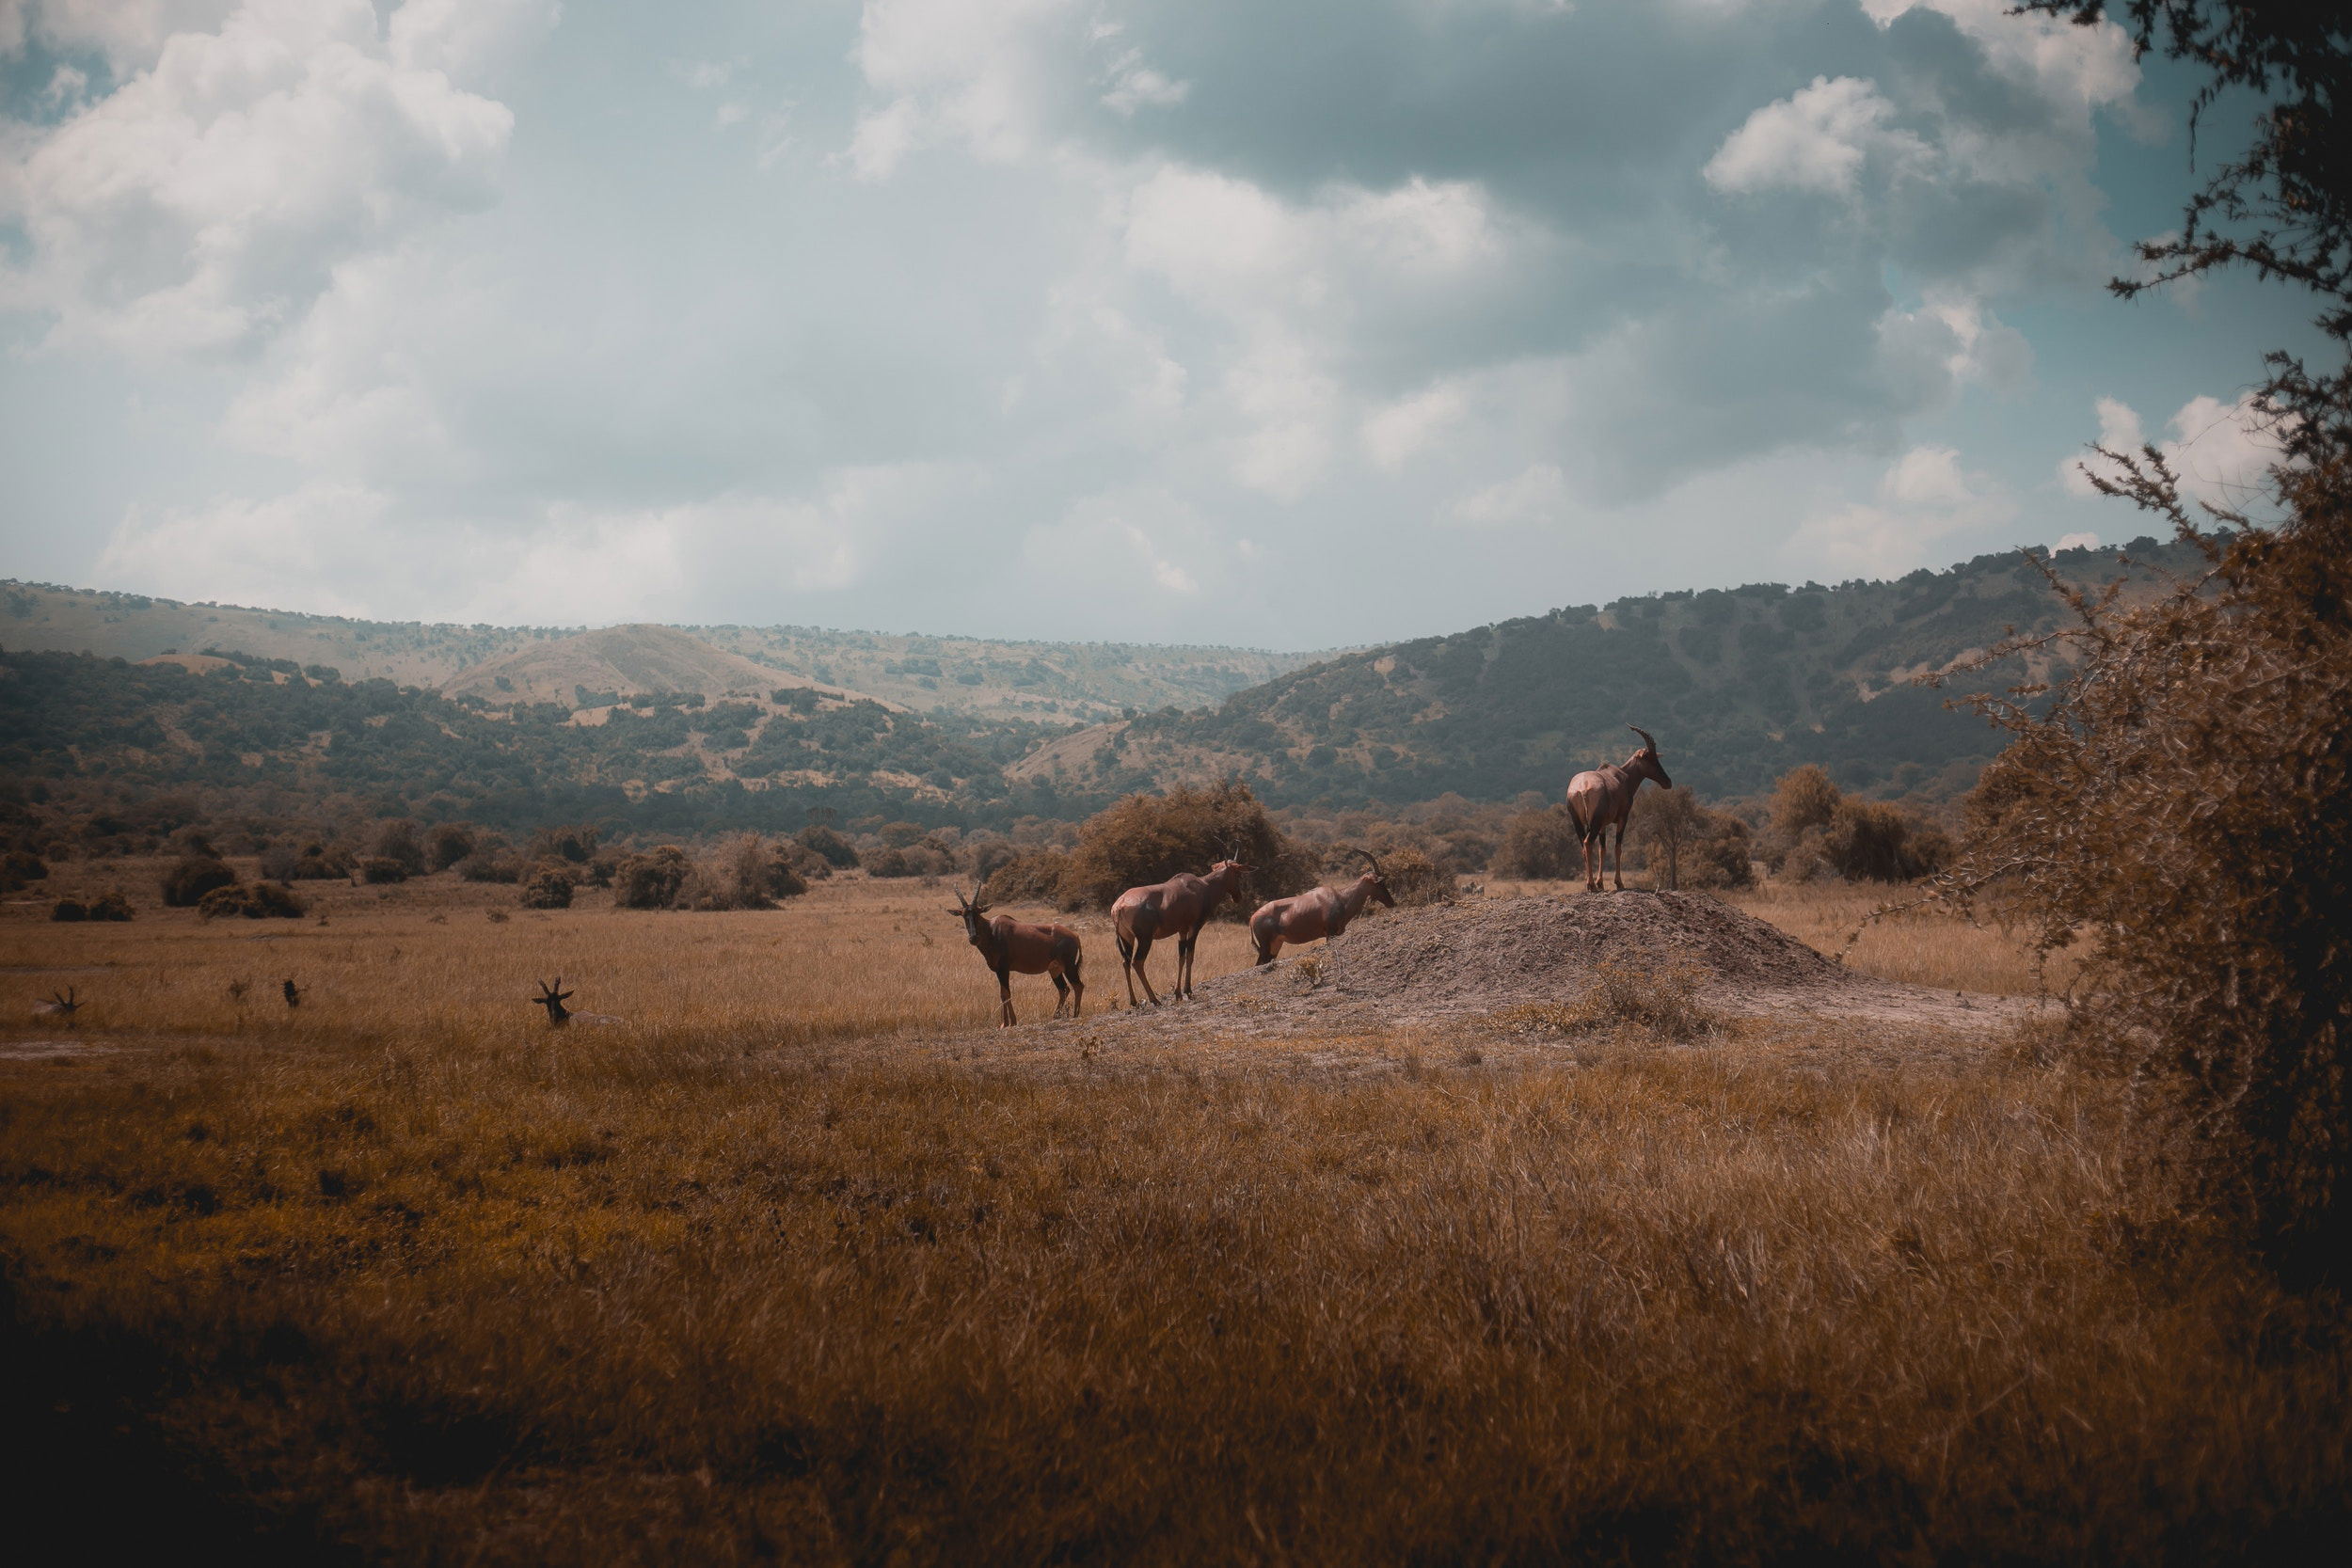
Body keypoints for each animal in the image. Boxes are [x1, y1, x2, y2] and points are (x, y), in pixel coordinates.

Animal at [946, 883, 1082, 1029]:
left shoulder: (1004, 969)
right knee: (1064, 989)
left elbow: (1006, 994)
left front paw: (1008, 1023)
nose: (973, 938)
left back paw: (1075, 1015)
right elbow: (1003, 994)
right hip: (1055, 970)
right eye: (963, 914)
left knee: (1078, 986)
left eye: (978, 912)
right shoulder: (999, 971)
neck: (992, 931)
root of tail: (1075, 936)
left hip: (1069, 967)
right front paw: (1006, 1023)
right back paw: (1056, 1016)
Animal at [1115, 846, 1261, 1006]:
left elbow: (1181, 958)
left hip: (1127, 938)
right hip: (1144, 939)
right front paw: (1188, 991)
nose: (1238, 897)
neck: (1204, 886)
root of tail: (1120, 905)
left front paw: (1178, 994)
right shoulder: (1194, 927)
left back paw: (1134, 1001)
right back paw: (1154, 999)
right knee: (1137, 962)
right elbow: (1190, 956)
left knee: (1126, 962)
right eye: (1238, 873)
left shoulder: (1182, 931)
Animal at [1251, 846, 1392, 968]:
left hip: (1275, 946)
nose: (1391, 902)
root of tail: (1253, 917)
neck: (1340, 897)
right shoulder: (1330, 933)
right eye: (1380, 882)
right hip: (1265, 947)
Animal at [1562, 728, 1675, 893]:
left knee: (1583, 845)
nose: (1668, 782)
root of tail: (1582, 788)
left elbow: (1603, 850)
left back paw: (1590, 884)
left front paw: (1601, 883)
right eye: (1650, 759)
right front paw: (1619, 883)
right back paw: (1591, 885)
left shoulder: (1603, 825)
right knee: (1588, 843)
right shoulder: (1623, 818)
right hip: (1594, 823)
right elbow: (1618, 848)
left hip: (1578, 821)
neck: (1622, 776)